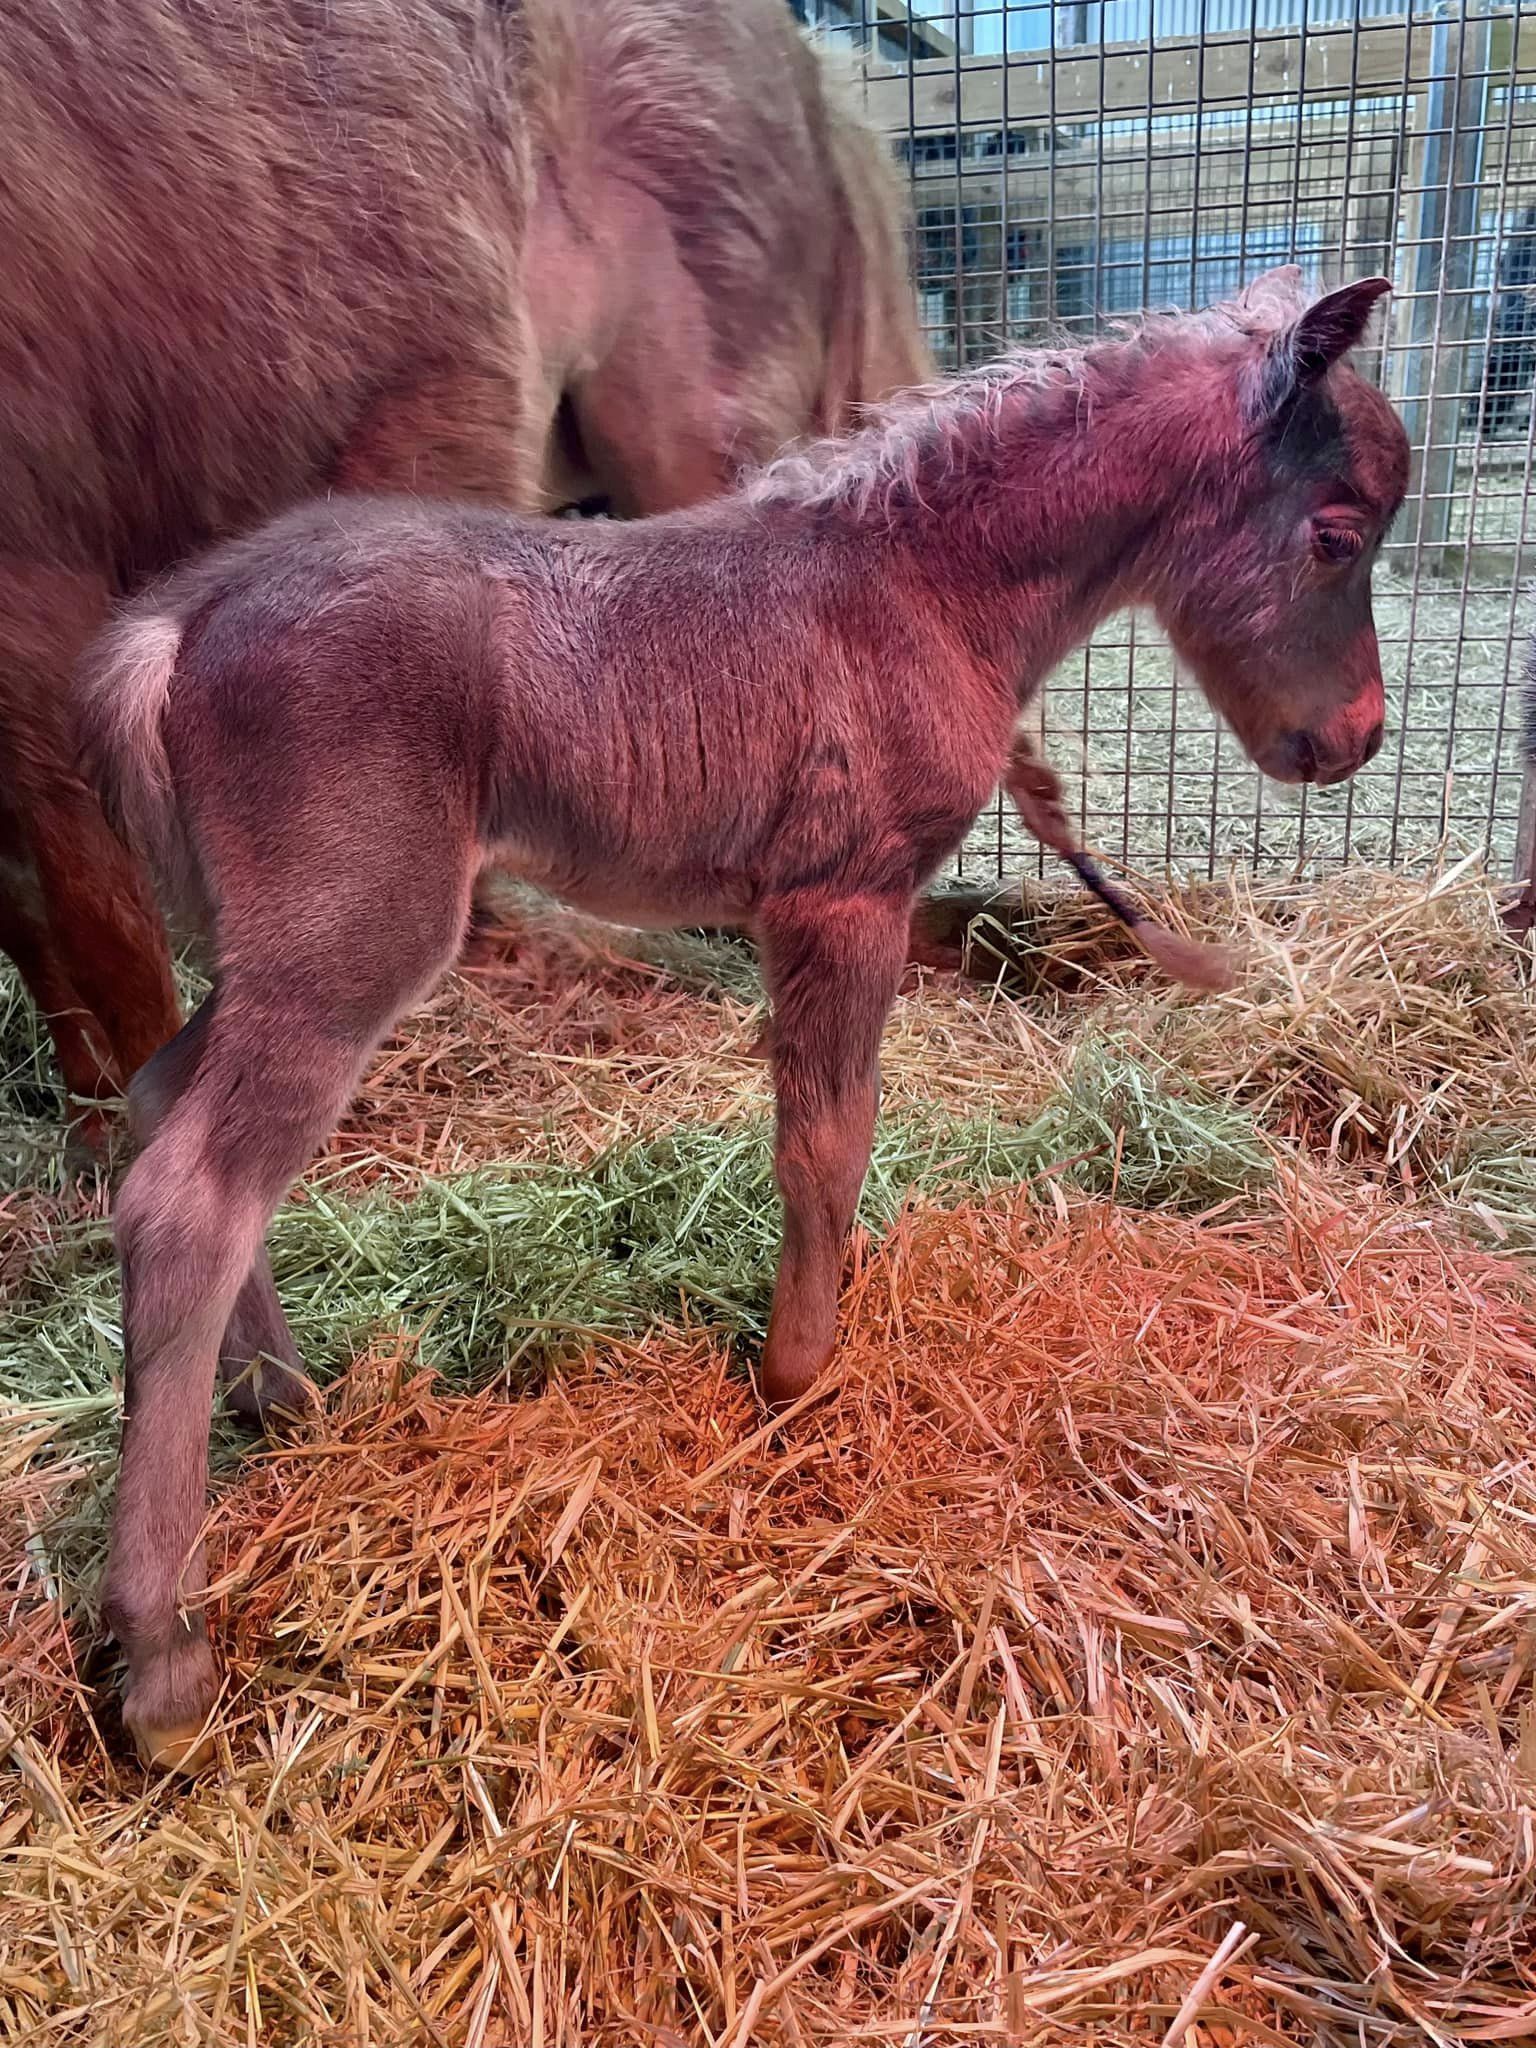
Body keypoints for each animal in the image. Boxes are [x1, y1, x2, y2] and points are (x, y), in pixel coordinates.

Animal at [79, 266, 1408, 1770]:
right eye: (1335, 533)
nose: (1354, 738)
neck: (920, 590)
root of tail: (178, 625)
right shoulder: (844, 896)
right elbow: (827, 1136)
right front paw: (799, 1370)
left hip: (271, 949)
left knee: (159, 1102)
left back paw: (283, 1401)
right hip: (349, 944)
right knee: (190, 1192)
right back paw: (164, 1653)